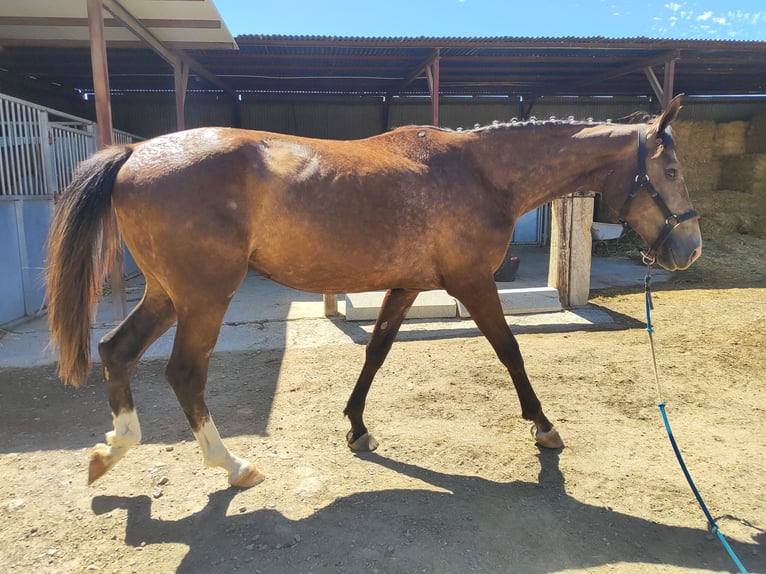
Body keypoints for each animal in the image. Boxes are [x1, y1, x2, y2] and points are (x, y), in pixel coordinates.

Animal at [46, 95, 701, 488]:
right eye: (670, 170)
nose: (689, 248)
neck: (479, 172)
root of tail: (136, 151)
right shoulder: (472, 283)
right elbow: (510, 350)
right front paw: (543, 427)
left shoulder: (407, 286)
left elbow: (377, 350)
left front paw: (357, 427)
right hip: (203, 296)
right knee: (183, 373)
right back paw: (231, 465)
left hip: (167, 292)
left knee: (116, 351)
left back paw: (112, 450)